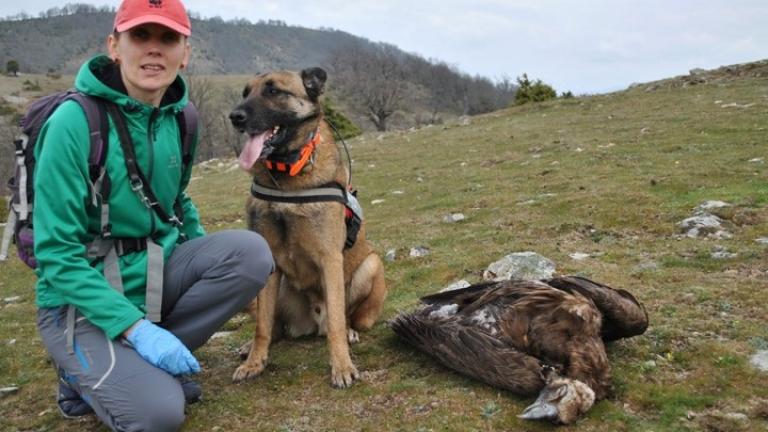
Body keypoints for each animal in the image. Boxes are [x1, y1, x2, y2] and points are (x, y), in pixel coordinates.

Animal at [226, 68, 384, 388]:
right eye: (245, 93)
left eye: (273, 91)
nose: (235, 117)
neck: (286, 174)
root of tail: (311, 322)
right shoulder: (270, 262)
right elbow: (262, 325)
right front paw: (255, 362)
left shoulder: (330, 259)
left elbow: (336, 321)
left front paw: (342, 366)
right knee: (274, 325)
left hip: (372, 265)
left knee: (344, 318)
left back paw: (350, 332)